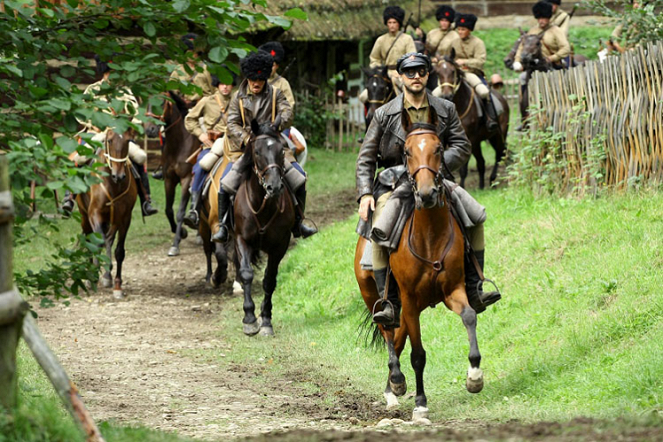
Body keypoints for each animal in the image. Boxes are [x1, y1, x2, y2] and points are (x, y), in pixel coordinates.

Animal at [77, 129, 138, 298]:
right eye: (109, 141)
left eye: (128, 141)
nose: (119, 175)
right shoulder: (94, 214)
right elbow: (97, 243)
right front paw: (95, 274)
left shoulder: (125, 218)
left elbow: (119, 251)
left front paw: (116, 284)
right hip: (84, 218)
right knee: (90, 240)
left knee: (109, 239)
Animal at [145, 92, 198, 256]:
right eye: (148, 104)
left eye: (162, 103)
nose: (150, 130)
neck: (179, 143)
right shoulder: (169, 180)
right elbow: (168, 210)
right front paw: (182, 233)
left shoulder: (187, 180)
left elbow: (180, 212)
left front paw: (175, 244)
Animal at [235, 115, 294, 336]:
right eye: (257, 151)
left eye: (281, 151)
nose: (274, 187)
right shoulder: (241, 239)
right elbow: (246, 274)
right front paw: (249, 318)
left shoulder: (280, 245)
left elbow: (269, 280)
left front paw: (266, 319)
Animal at [352, 106, 482, 422]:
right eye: (407, 152)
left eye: (438, 149)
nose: (426, 194)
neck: (430, 235)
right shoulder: (409, 302)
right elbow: (418, 354)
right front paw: (420, 404)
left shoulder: (453, 290)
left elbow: (469, 316)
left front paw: (474, 375)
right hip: (376, 297)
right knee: (389, 333)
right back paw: (396, 383)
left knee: (397, 338)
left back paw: (391, 387)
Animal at [436, 55, 508, 188]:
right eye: (438, 73)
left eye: (453, 71)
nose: (447, 95)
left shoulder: (469, 139)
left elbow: (463, 167)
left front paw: (462, 185)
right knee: (482, 161)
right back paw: (481, 184)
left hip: (498, 135)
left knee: (498, 155)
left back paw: (492, 179)